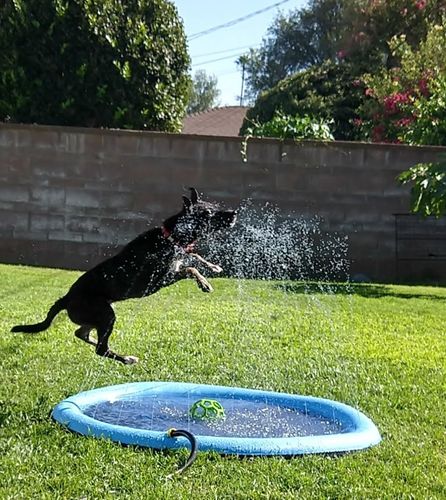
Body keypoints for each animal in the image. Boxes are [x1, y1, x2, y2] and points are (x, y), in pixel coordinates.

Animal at [11, 188, 237, 364]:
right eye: (208, 213)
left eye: (215, 206)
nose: (234, 213)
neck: (170, 237)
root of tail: (66, 298)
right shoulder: (158, 280)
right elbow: (189, 268)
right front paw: (204, 283)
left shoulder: (179, 259)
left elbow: (194, 257)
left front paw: (214, 267)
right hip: (106, 314)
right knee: (100, 349)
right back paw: (126, 358)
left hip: (98, 315)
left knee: (81, 333)